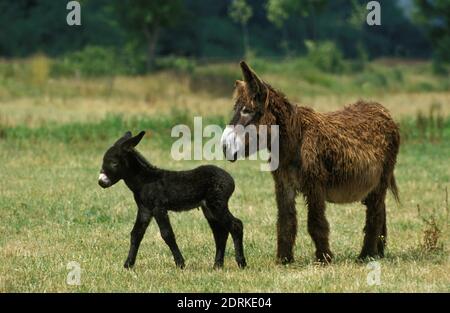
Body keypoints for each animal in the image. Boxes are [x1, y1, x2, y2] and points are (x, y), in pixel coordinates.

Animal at [98, 130, 246, 268]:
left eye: (114, 163)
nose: (101, 182)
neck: (144, 181)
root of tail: (230, 179)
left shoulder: (158, 208)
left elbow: (167, 234)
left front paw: (180, 263)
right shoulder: (145, 209)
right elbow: (136, 234)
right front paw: (128, 264)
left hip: (217, 204)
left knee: (236, 225)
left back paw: (241, 263)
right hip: (209, 209)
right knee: (220, 232)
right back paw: (217, 265)